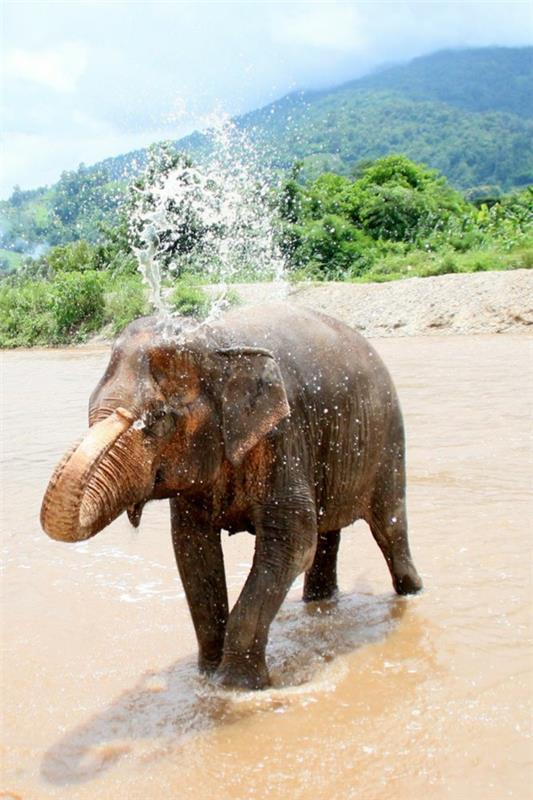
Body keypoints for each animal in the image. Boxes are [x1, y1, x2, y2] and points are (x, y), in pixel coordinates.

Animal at [40, 304, 420, 692]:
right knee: (328, 535)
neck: (219, 343)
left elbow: (293, 542)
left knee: (389, 528)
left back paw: (412, 593)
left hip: (388, 441)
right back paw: (320, 602)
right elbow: (193, 551)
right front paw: (208, 675)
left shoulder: (285, 437)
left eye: (159, 418)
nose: (124, 416)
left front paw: (238, 686)